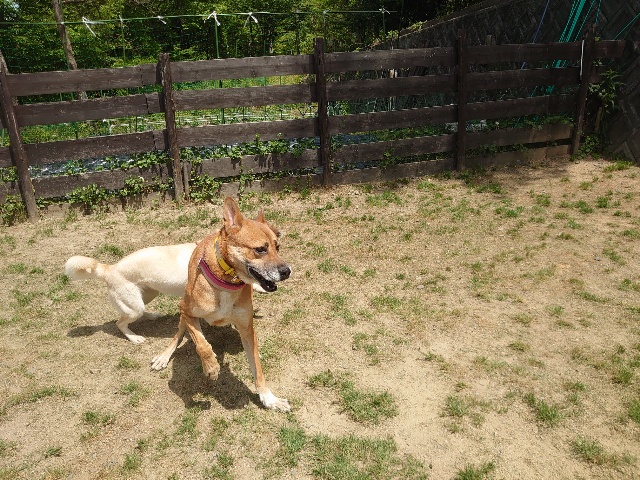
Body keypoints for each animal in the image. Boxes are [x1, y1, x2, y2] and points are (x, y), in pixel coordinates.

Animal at [65, 243, 196, 344]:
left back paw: (153, 316)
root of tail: (109, 269)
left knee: (135, 312)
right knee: (120, 323)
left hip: (148, 295)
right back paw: (134, 338)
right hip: (134, 307)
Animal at [150, 196, 292, 411]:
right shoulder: (188, 311)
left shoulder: (247, 329)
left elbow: (258, 369)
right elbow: (201, 344)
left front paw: (269, 398)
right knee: (179, 334)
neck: (227, 282)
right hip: (183, 313)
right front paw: (211, 367)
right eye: (260, 249)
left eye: (278, 247)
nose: (287, 271)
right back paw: (164, 356)